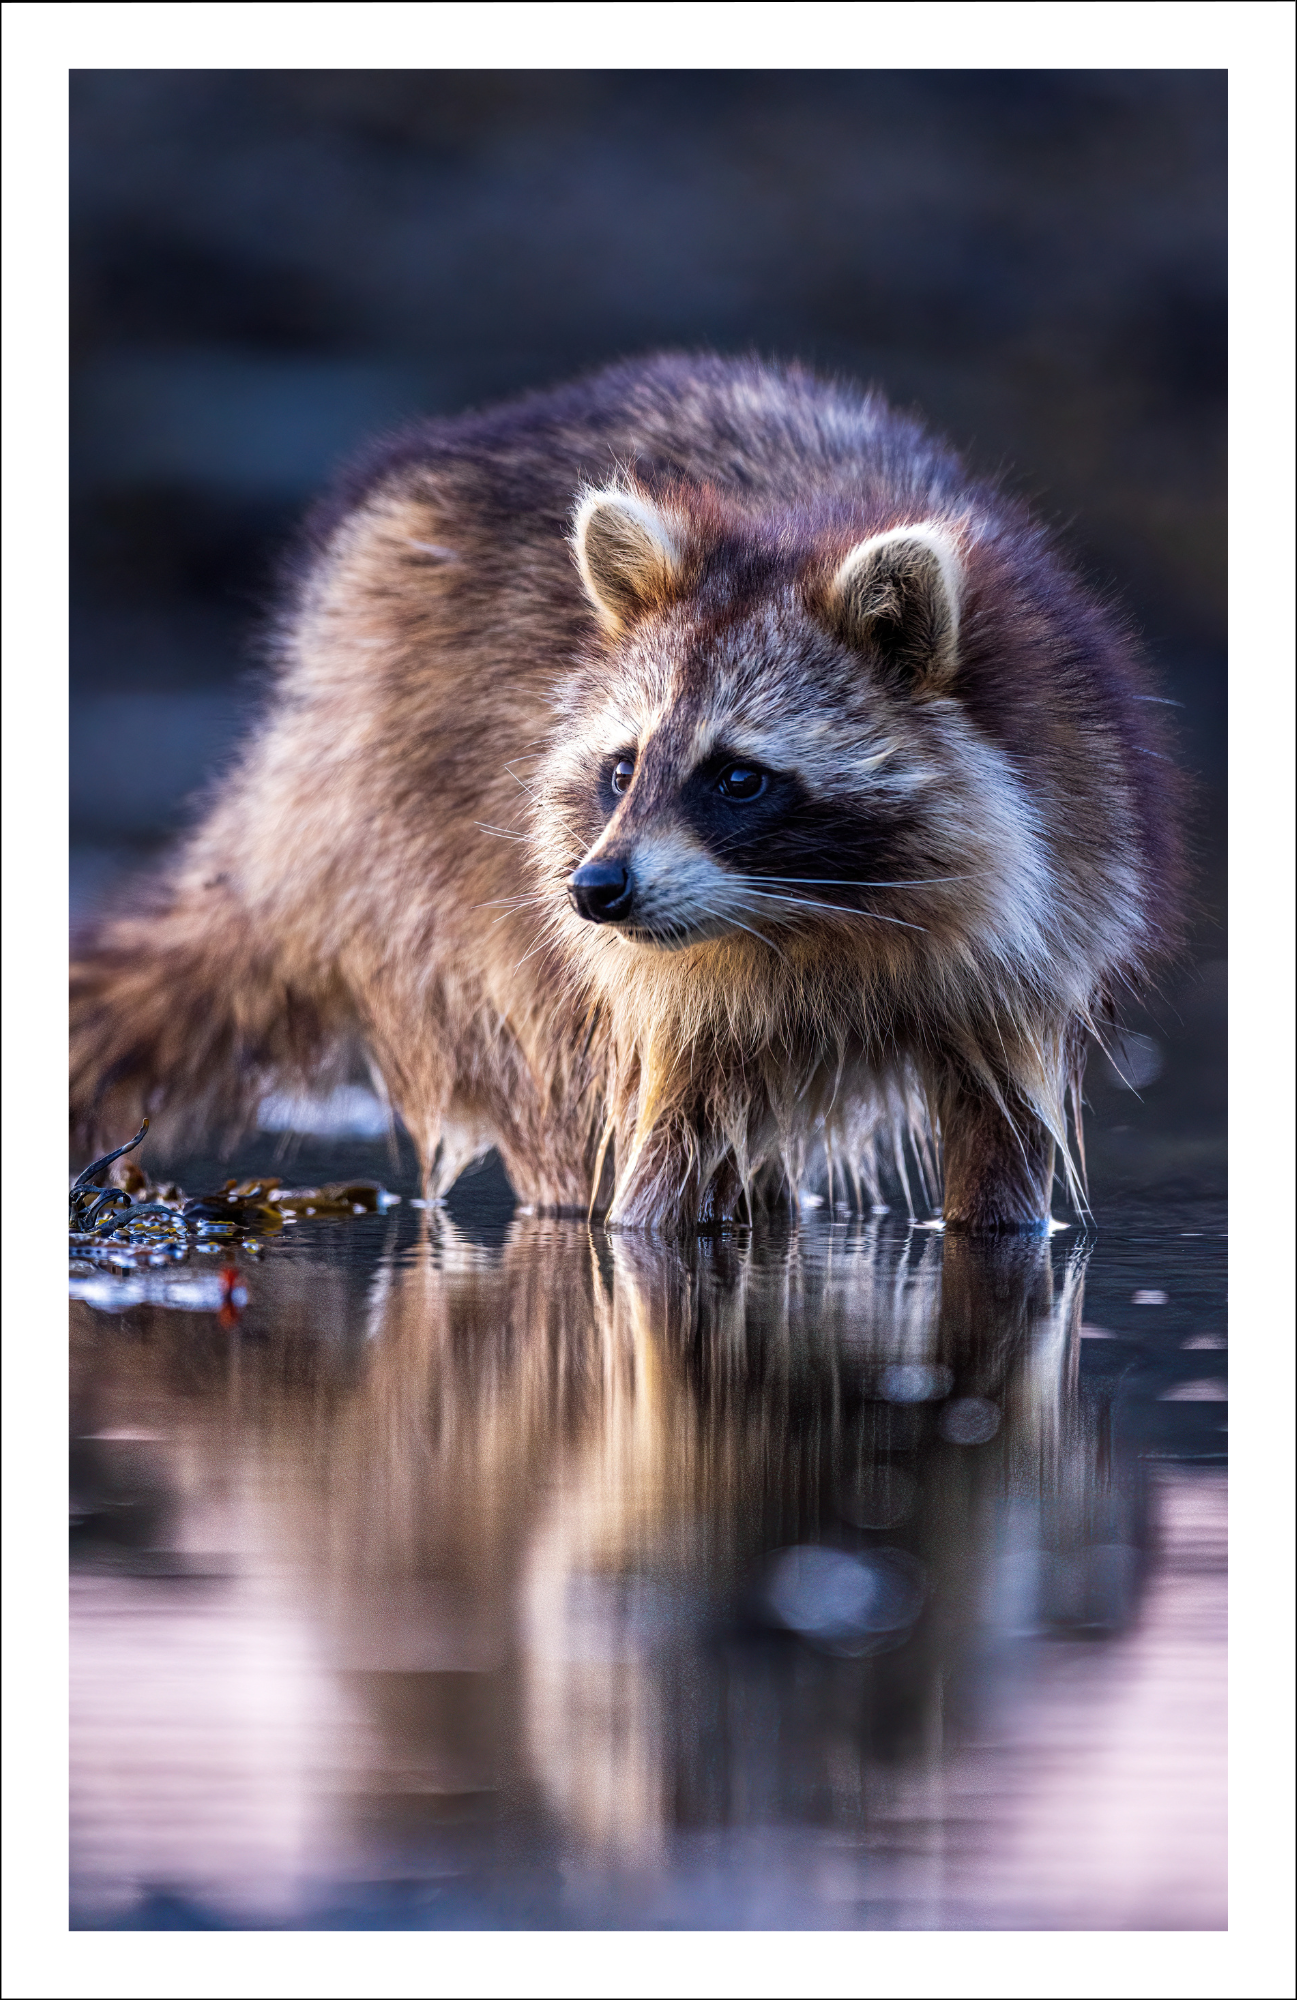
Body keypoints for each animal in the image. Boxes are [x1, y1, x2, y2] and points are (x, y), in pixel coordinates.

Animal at [70, 355, 1182, 1232]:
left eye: (736, 777)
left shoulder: (1044, 911)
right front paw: (638, 1226)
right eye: (620, 768)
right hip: (426, 887)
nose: (594, 890)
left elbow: (1005, 1156)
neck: (813, 920)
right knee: (552, 1091)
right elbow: (655, 1166)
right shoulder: (646, 991)